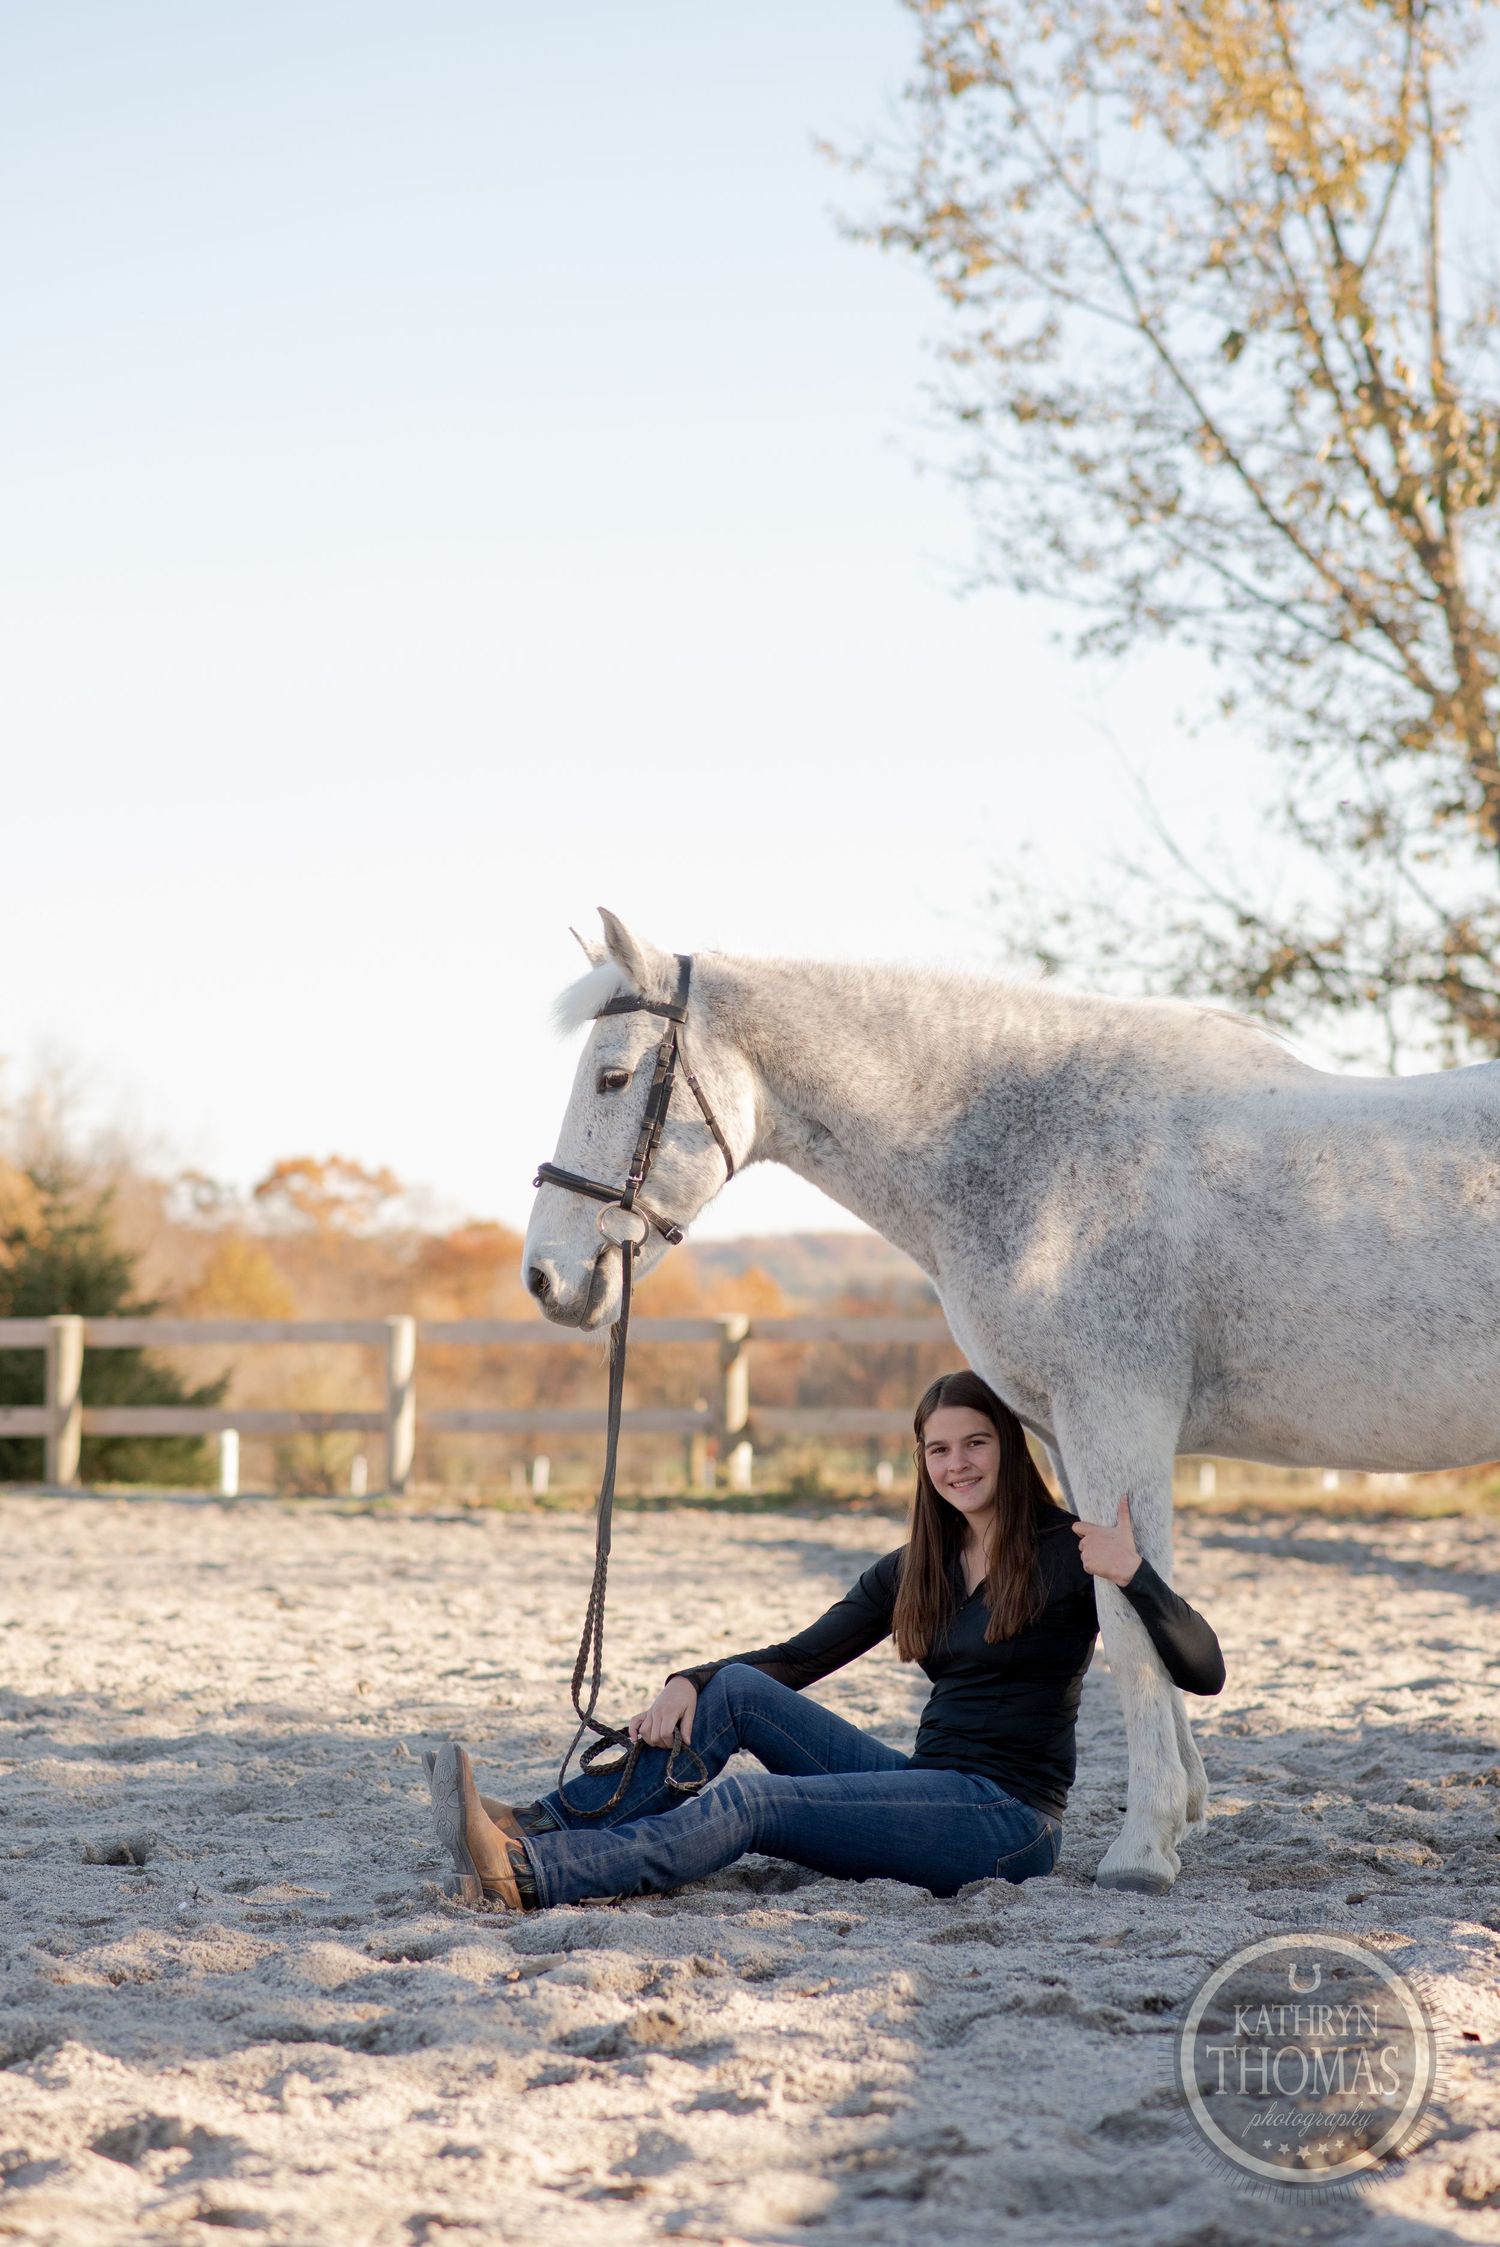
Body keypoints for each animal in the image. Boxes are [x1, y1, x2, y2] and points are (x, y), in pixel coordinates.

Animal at [523, 908, 1500, 1893]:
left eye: (613, 1076)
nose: (545, 1279)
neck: (1045, 1150)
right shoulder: (1076, 1435)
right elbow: (1147, 1606)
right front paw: (1183, 1810)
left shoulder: (1115, 1414)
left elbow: (1130, 1623)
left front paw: (1143, 1849)